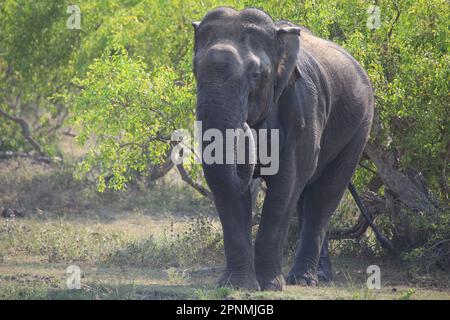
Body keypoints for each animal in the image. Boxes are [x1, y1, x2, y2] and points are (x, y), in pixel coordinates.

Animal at [192, 7, 372, 290]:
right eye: (195, 71)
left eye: (256, 75)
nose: (246, 128)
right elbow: (229, 192)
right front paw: (236, 286)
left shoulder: (302, 107)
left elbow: (285, 185)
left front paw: (269, 286)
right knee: (306, 198)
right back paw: (317, 276)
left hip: (360, 127)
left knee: (323, 195)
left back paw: (304, 280)